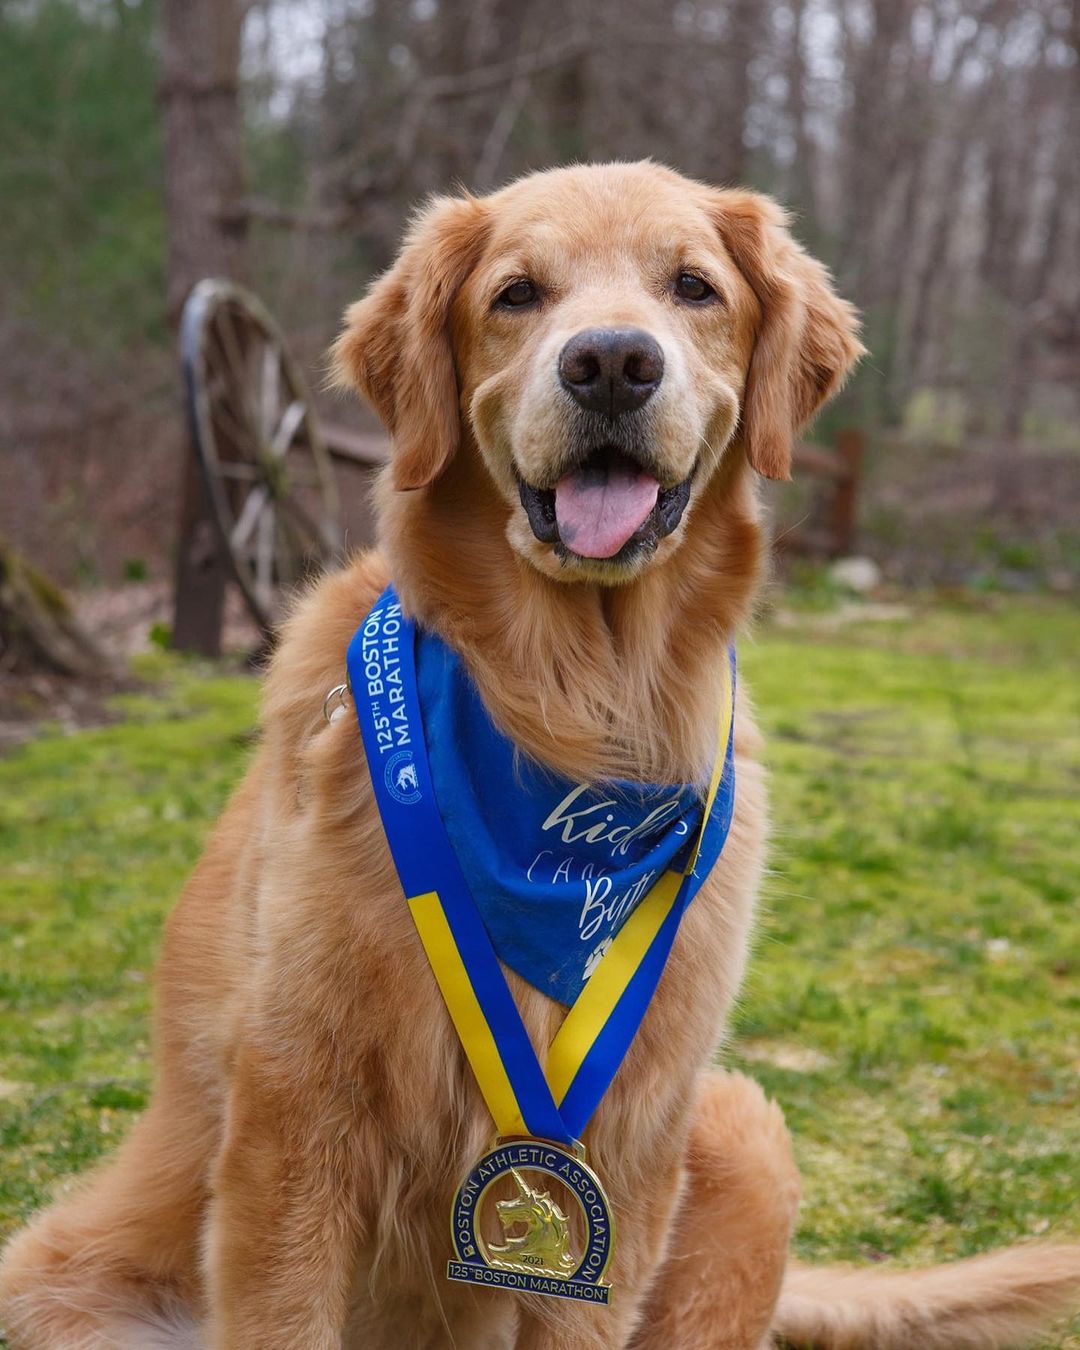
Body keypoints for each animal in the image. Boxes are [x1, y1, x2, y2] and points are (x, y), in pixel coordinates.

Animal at [2, 163, 1080, 1344]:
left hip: (741, 1130)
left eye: (693, 286)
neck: (577, 716)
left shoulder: (626, 1153)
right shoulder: (294, 1122)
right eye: (517, 294)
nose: (611, 362)